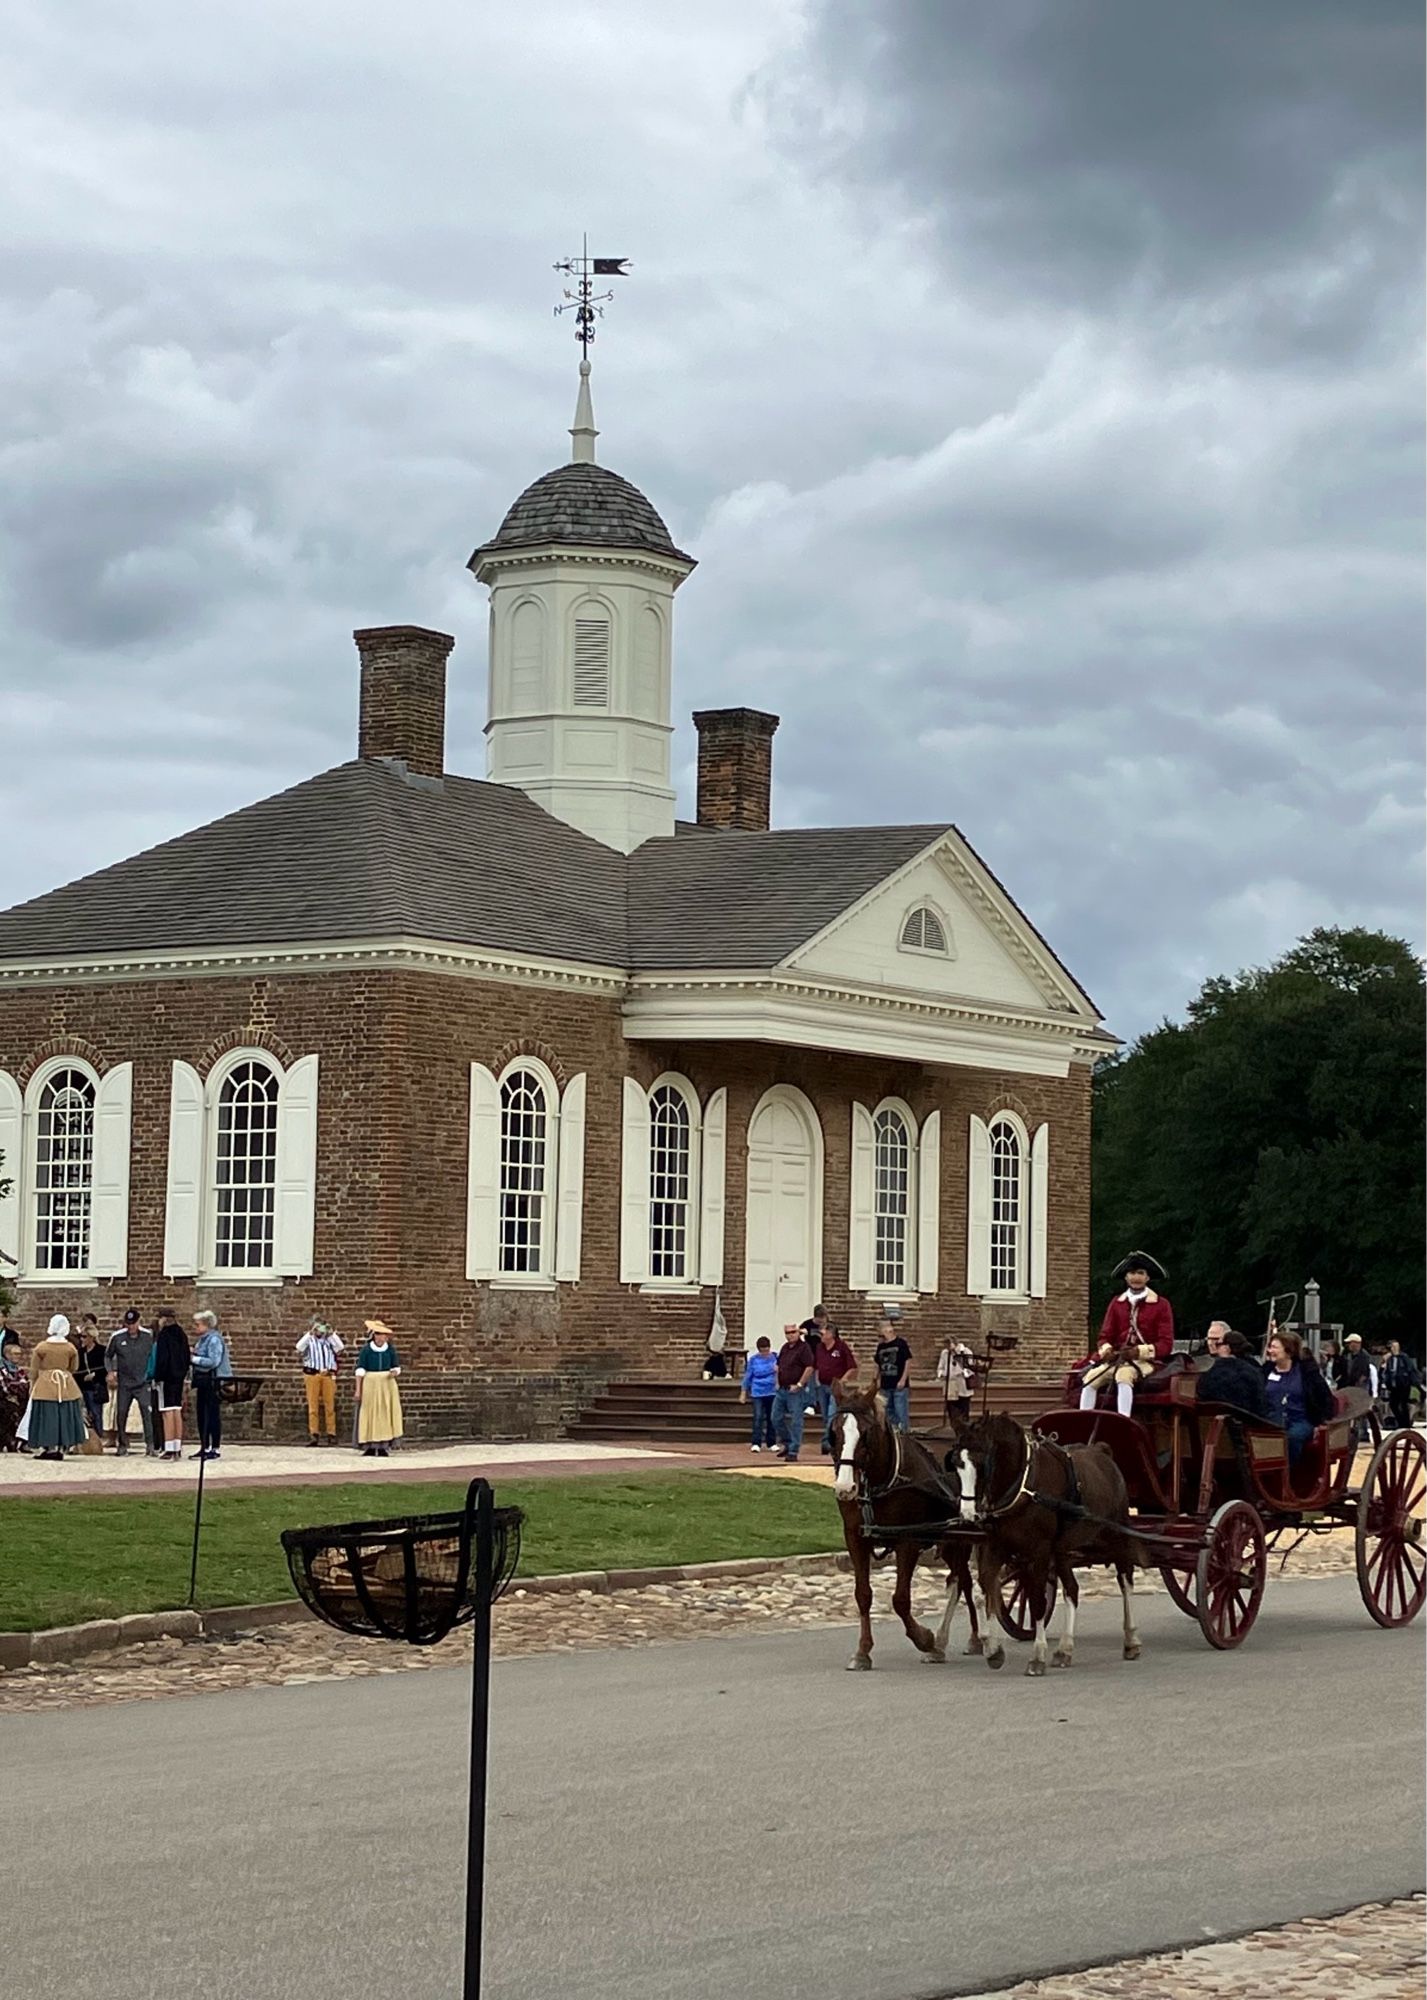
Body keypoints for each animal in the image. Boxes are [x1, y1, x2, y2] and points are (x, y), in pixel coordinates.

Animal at [823, 1376, 979, 1672]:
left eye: (865, 1434)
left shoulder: (908, 1540)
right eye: (834, 1433)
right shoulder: (855, 1537)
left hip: (965, 1534)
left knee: (963, 1580)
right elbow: (863, 1594)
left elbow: (901, 1600)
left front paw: (925, 1639)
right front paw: (863, 1651)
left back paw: (971, 1638)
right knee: (961, 1578)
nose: (845, 1487)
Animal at [951, 1416, 1143, 1680]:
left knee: (1125, 1582)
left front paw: (1037, 1656)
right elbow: (984, 1592)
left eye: (982, 1463)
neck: (1024, 1487)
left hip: (1117, 1537)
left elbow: (1037, 1601)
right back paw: (1064, 1649)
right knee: (1072, 1590)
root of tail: (1102, 1452)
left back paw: (1131, 1640)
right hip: (1062, 1552)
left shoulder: (1039, 1553)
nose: (969, 1515)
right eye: (957, 1465)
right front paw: (992, 1649)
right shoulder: (995, 1547)